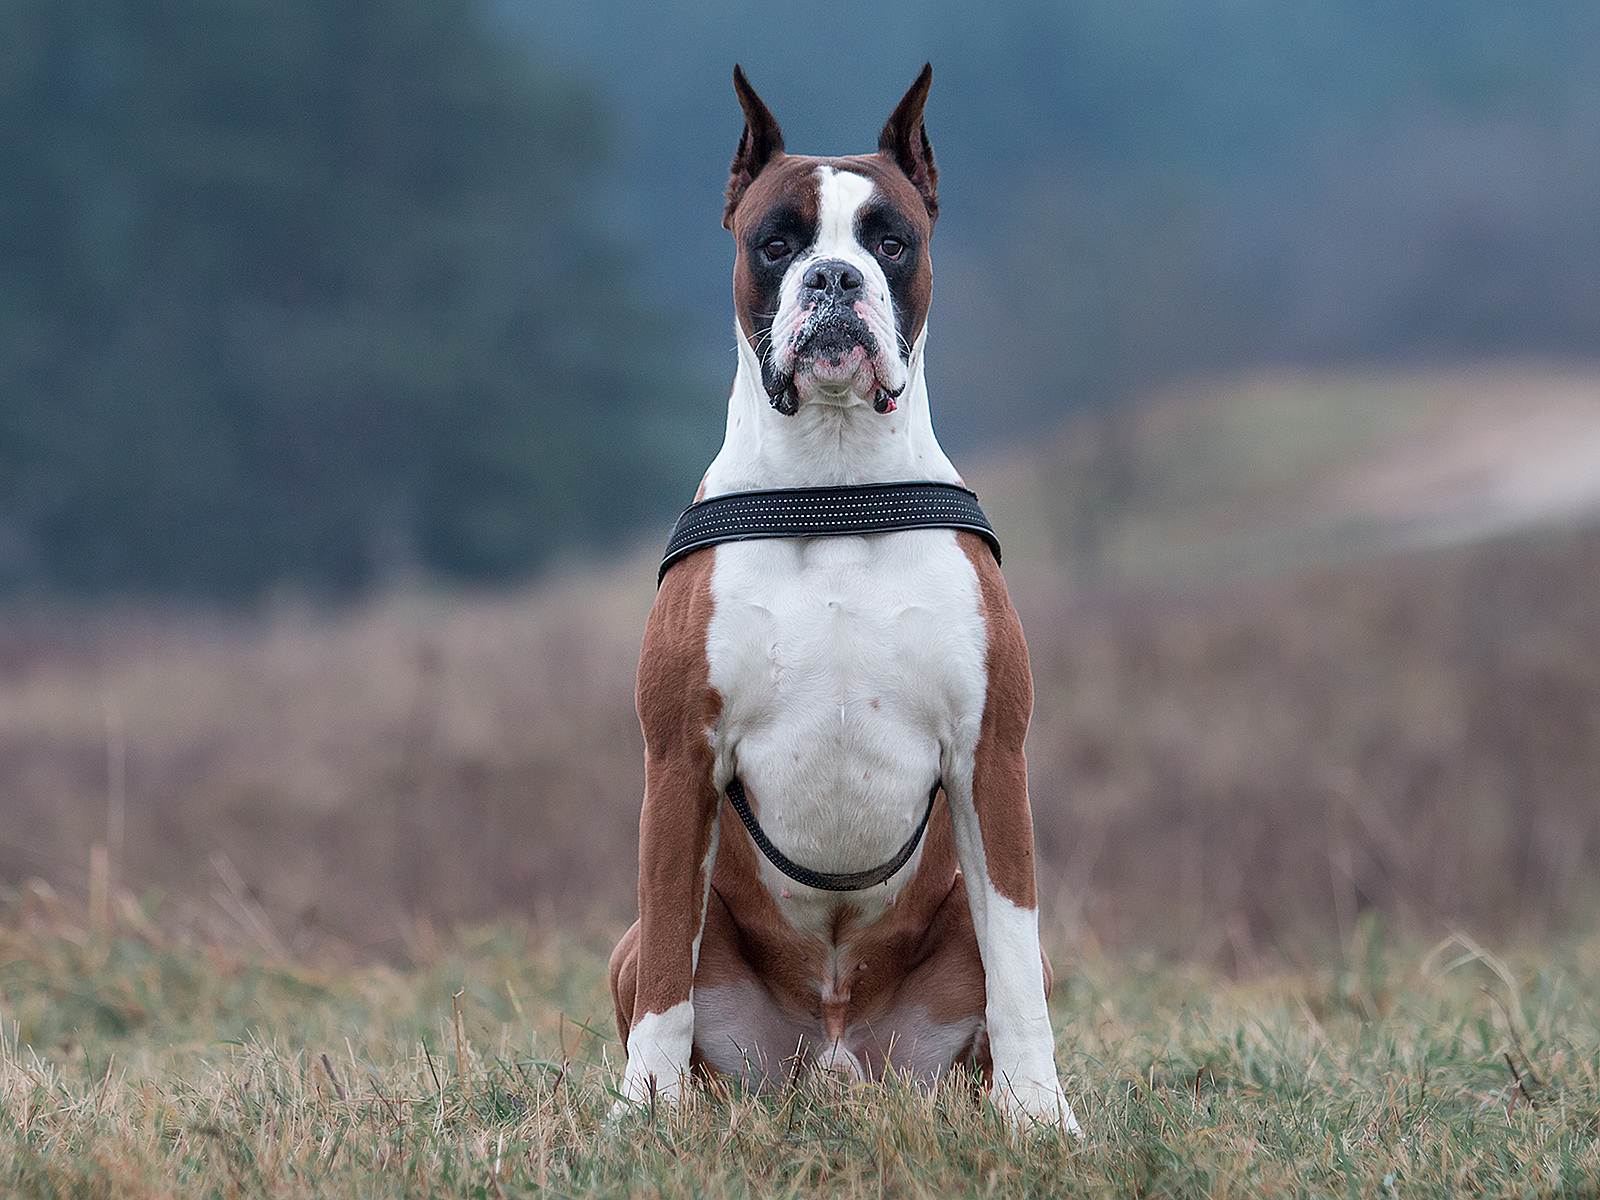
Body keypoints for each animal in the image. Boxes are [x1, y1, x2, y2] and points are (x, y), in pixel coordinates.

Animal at [604, 63, 1081, 1139]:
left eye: (888, 241)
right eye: (776, 242)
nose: (833, 279)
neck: (833, 481)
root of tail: (831, 1056)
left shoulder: (989, 757)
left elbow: (1013, 969)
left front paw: (1041, 1117)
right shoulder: (678, 762)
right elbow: (666, 983)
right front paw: (644, 1112)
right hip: (644, 947)